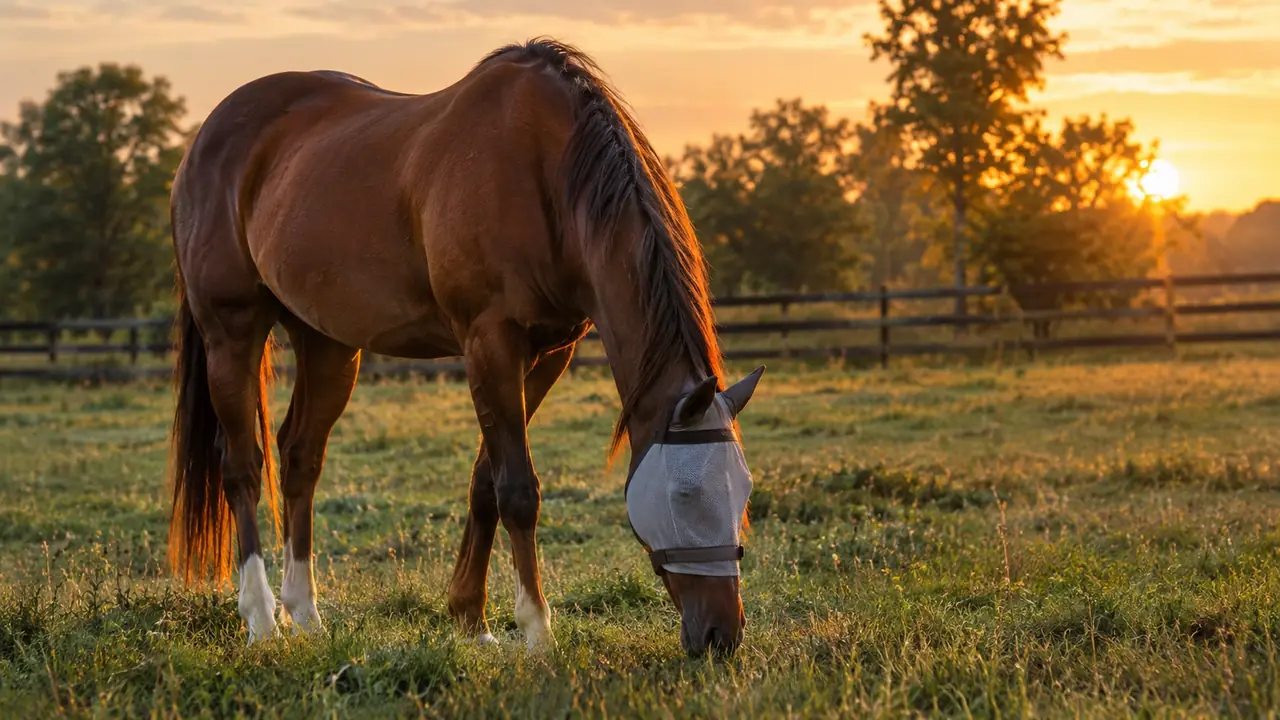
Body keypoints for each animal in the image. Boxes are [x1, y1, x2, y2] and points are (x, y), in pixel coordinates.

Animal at [165, 38, 765, 658]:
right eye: (685, 495)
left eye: (744, 493)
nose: (722, 635)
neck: (545, 173)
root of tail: (208, 137)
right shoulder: (489, 342)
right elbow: (518, 489)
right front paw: (537, 631)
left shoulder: (547, 354)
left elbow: (485, 483)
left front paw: (471, 619)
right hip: (230, 331)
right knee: (242, 466)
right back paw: (261, 619)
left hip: (327, 344)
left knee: (300, 457)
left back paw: (305, 613)